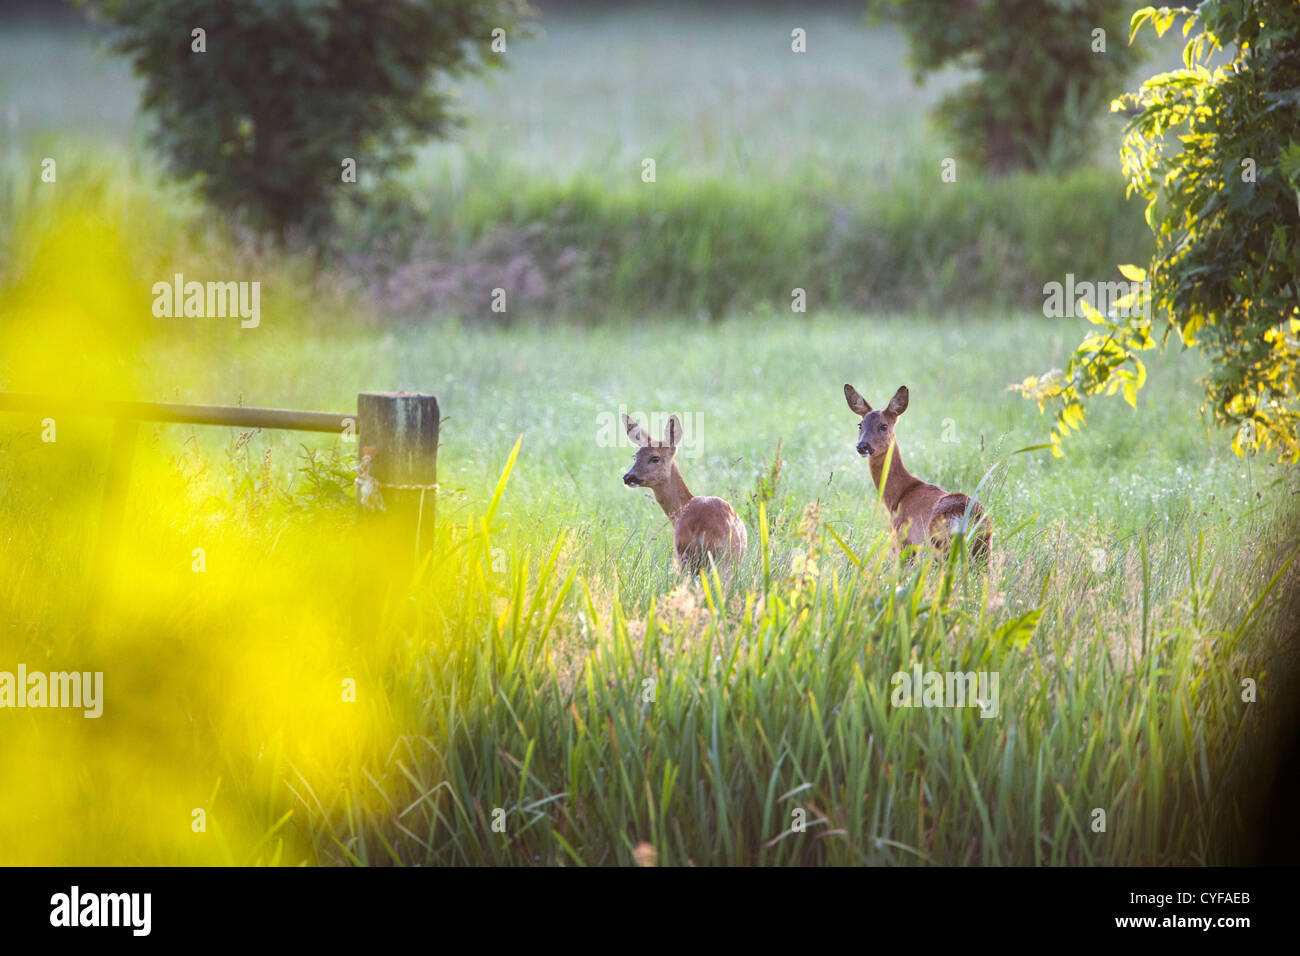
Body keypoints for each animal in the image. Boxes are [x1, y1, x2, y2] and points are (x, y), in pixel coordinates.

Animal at [847, 385, 987, 564]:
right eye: (860, 425)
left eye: (883, 426)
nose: (862, 446)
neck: (900, 494)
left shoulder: (903, 542)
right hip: (983, 548)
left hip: (939, 547)